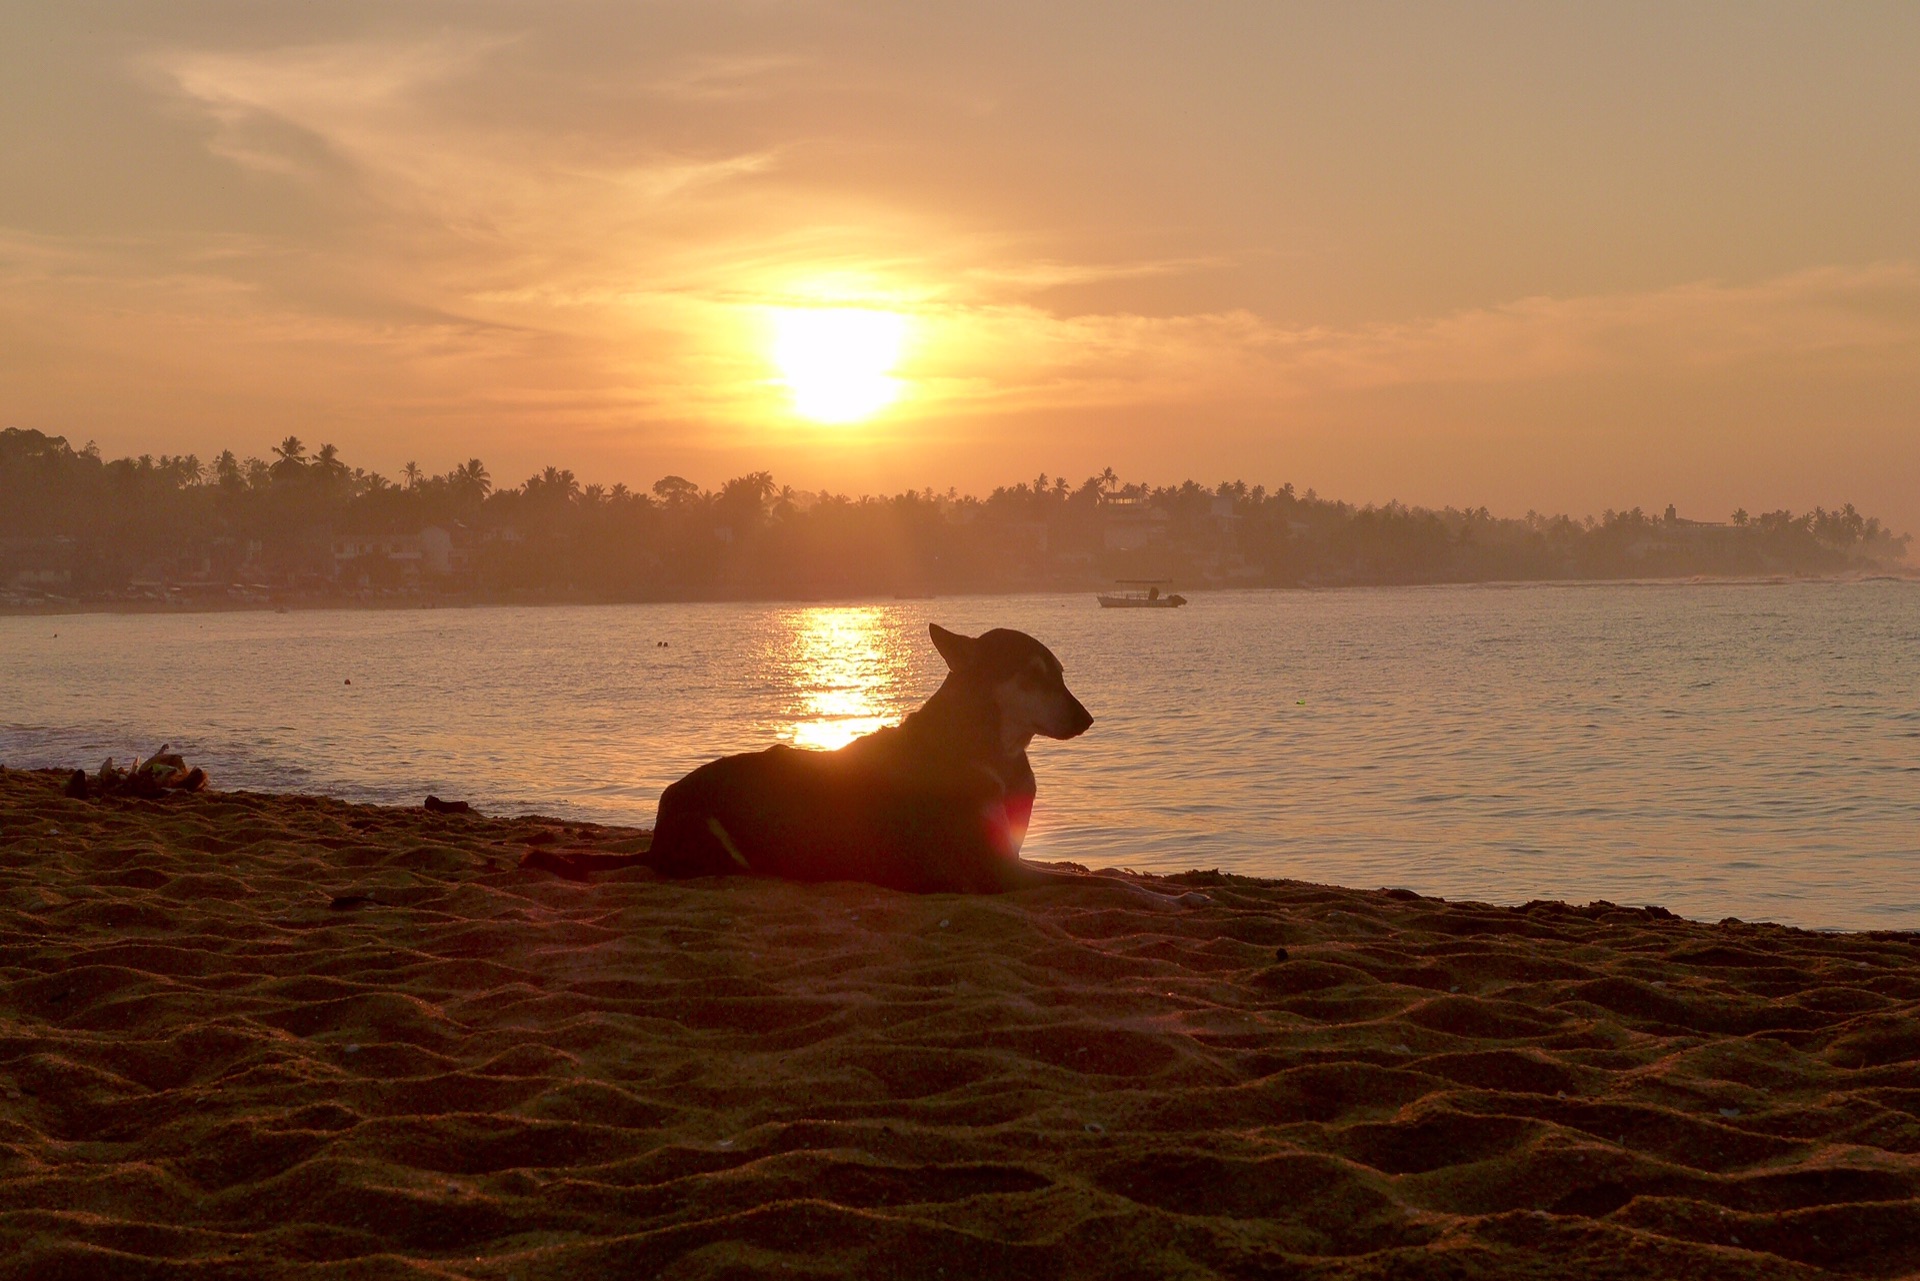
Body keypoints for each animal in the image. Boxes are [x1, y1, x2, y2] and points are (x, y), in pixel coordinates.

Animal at [645, 618, 1205, 902]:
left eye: (1061, 673)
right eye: (1032, 675)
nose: (1087, 719)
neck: (989, 754)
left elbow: (1108, 876)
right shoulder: (996, 872)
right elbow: (1108, 885)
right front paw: (1181, 898)